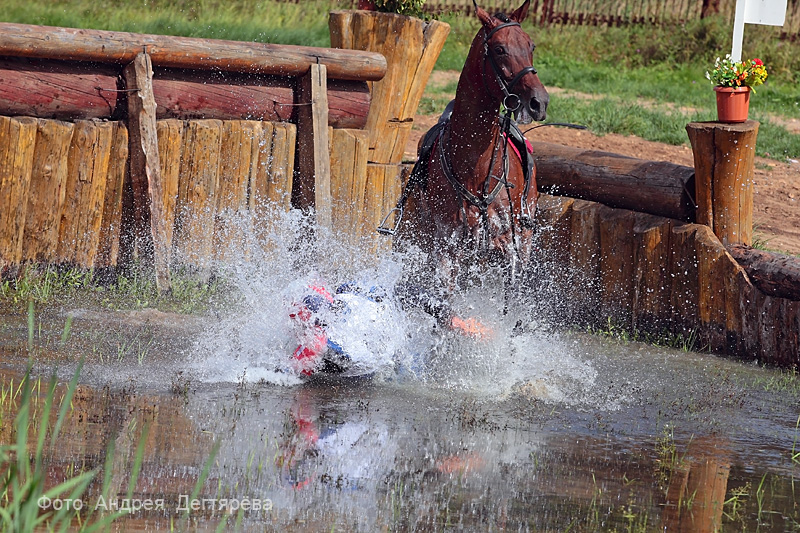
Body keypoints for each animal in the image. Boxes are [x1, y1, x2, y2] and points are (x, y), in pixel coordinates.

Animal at [382, 0, 548, 296]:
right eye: (499, 49)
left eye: (531, 46)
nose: (538, 102)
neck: (475, 167)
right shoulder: (447, 247)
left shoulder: (508, 244)